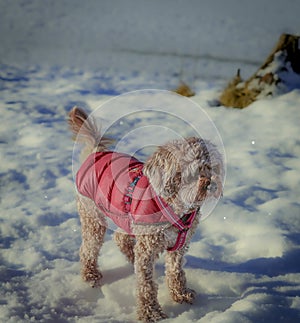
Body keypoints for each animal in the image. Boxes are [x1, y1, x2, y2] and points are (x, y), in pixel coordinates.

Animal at [67, 107, 223, 322]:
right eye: (188, 169)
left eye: (208, 166)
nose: (209, 183)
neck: (175, 207)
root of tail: (95, 153)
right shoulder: (147, 248)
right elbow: (146, 285)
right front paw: (151, 312)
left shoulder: (179, 246)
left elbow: (176, 272)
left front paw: (180, 294)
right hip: (93, 217)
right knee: (88, 249)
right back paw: (90, 274)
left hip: (124, 218)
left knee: (121, 238)